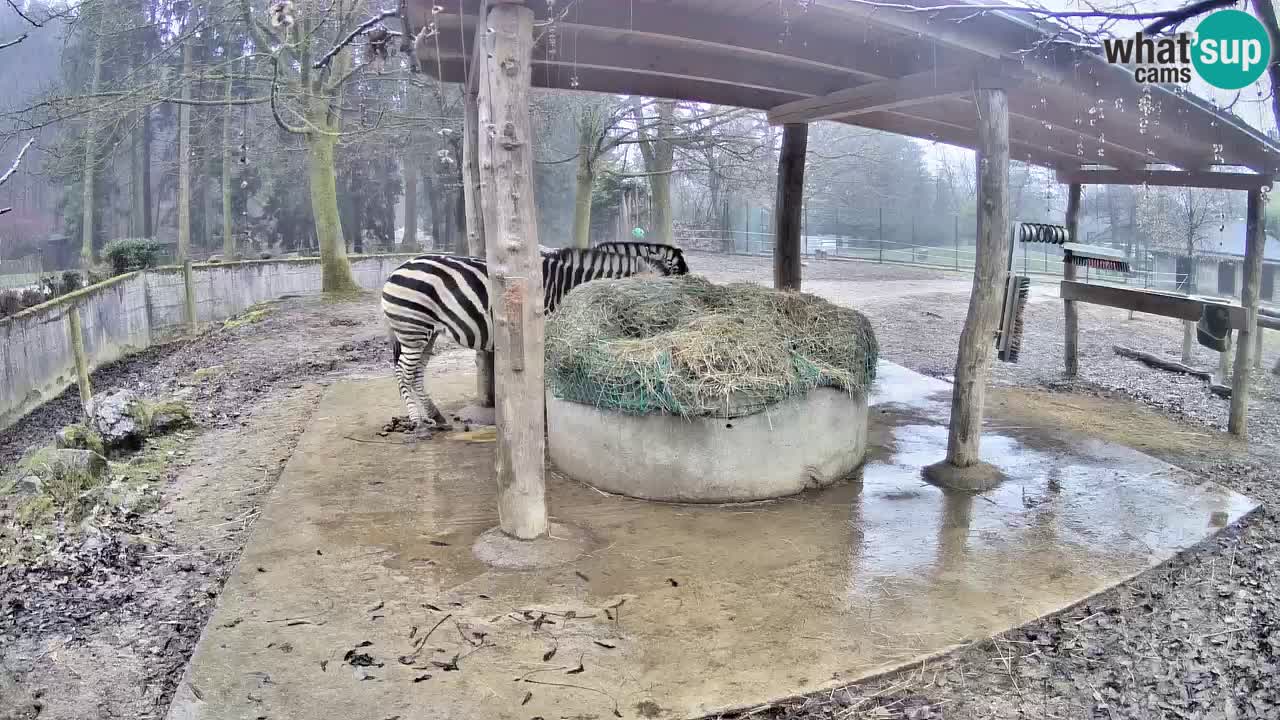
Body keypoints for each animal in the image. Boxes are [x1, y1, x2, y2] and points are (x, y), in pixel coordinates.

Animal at [376, 243, 686, 427]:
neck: (568, 287)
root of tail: (399, 267)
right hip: (413, 327)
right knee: (404, 372)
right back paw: (417, 422)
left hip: (426, 332)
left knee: (416, 372)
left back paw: (435, 416)